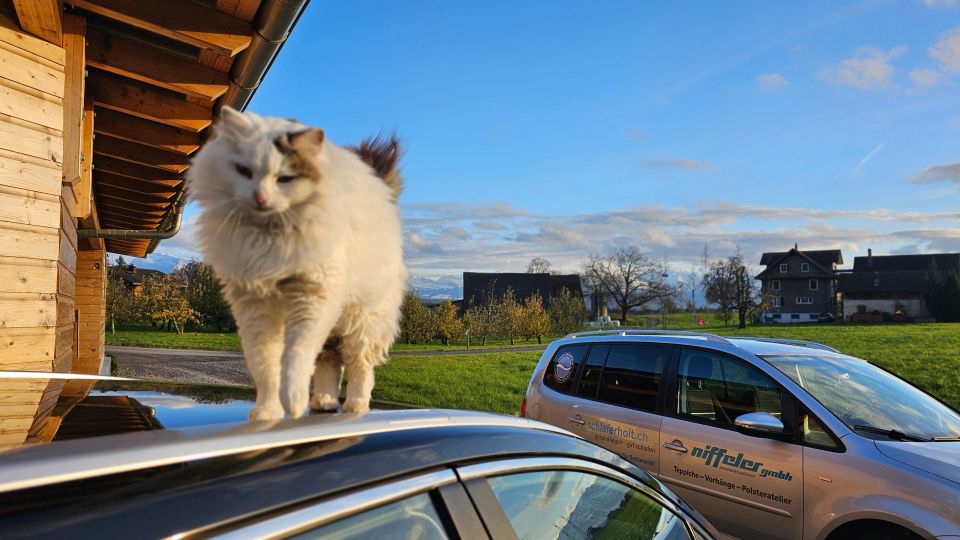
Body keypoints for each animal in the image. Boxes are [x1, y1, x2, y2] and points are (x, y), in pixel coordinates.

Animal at [187, 107, 404, 420]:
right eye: (244, 171)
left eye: (285, 178)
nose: (260, 197)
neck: (268, 239)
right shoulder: (254, 306)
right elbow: (264, 365)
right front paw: (267, 411)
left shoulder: (313, 299)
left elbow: (296, 356)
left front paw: (292, 400)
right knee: (329, 363)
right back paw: (323, 401)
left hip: (361, 322)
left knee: (359, 367)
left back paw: (355, 406)